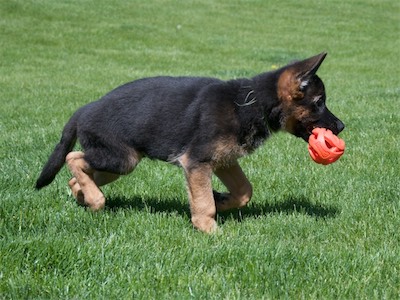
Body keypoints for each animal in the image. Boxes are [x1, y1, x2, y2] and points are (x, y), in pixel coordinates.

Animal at [36, 52, 344, 233]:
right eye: (319, 102)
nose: (342, 126)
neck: (251, 101)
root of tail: (83, 110)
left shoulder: (223, 160)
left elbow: (245, 191)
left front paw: (222, 200)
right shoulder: (197, 162)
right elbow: (205, 203)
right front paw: (209, 229)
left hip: (118, 163)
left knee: (77, 175)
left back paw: (84, 197)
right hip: (121, 159)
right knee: (73, 158)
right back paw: (95, 199)